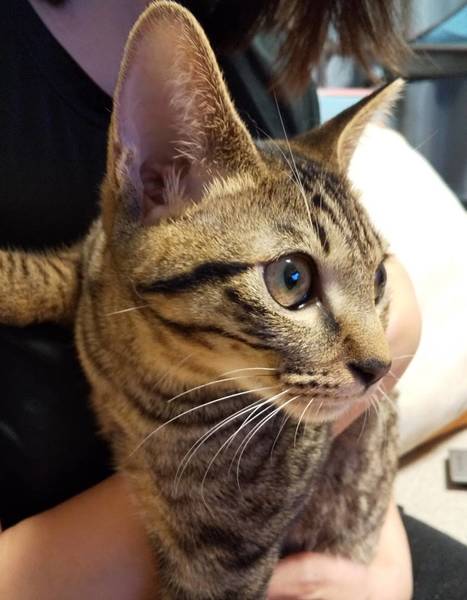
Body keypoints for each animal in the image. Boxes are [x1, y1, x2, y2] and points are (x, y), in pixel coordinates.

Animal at [0, 2, 402, 598]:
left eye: (378, 279)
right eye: (292, 279)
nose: (380, 368)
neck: (136, 375)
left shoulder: (223, 562)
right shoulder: (90, 253)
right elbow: (42, 269)